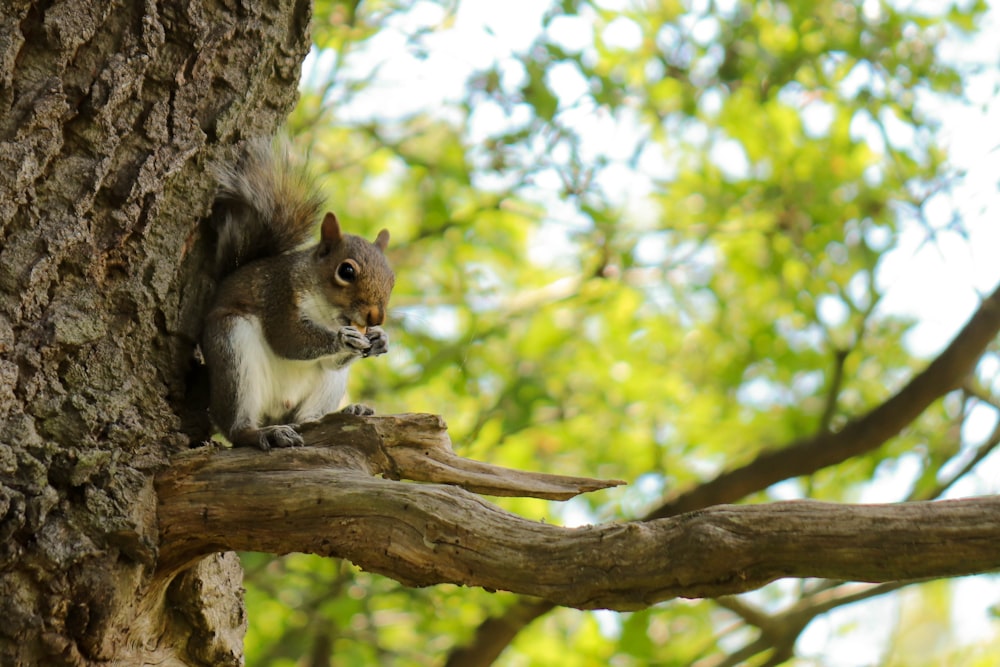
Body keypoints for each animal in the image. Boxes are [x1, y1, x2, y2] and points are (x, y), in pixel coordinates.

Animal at [203, 141, 394, 454]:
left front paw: (379, 339)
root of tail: (277, 412)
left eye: (392, 278)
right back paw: (264, 433)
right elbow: (289, 340)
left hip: (327, 387)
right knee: (237, 428)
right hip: (232, 350)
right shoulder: (277, 296)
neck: (326, 312)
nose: (376, 317)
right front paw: (342, 339)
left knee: (308, 417)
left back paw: (347, 411)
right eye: (346, 271)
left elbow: (330, 360)